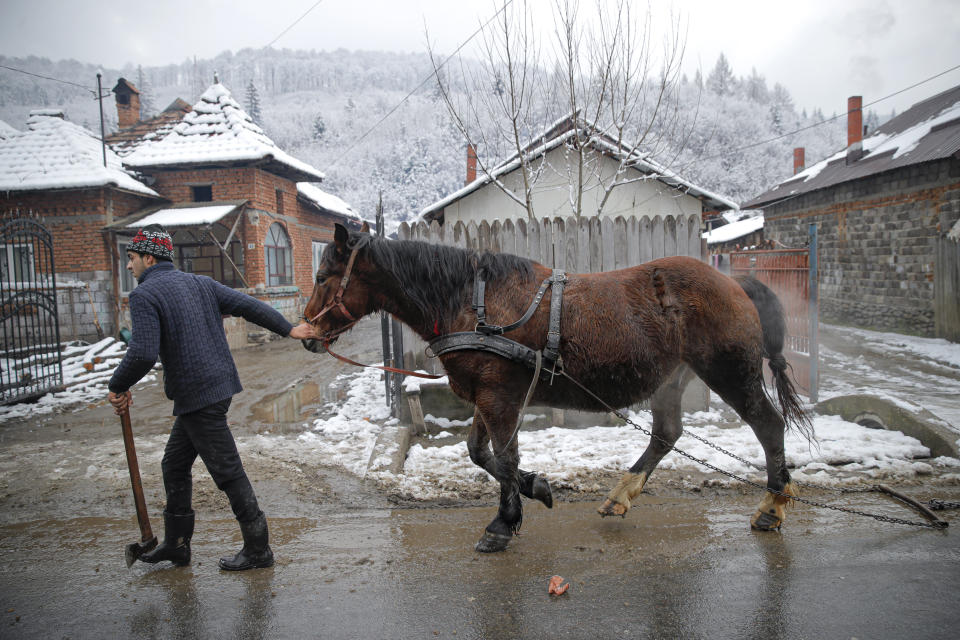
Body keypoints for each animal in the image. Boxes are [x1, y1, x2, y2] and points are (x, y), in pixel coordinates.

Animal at [304, 224, 812, 552]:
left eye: (323, 277)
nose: (306, 334)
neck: (473, 302)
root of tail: (734, 282)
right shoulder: (486, 397)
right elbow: (480, 454)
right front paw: (536, 488)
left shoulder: (499, 397)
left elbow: (505, 458)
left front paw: (503, 523)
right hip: (672, 379)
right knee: (667, 434)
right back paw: (620, 496)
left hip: (730, 373)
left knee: (769, 427)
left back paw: (772, 506)